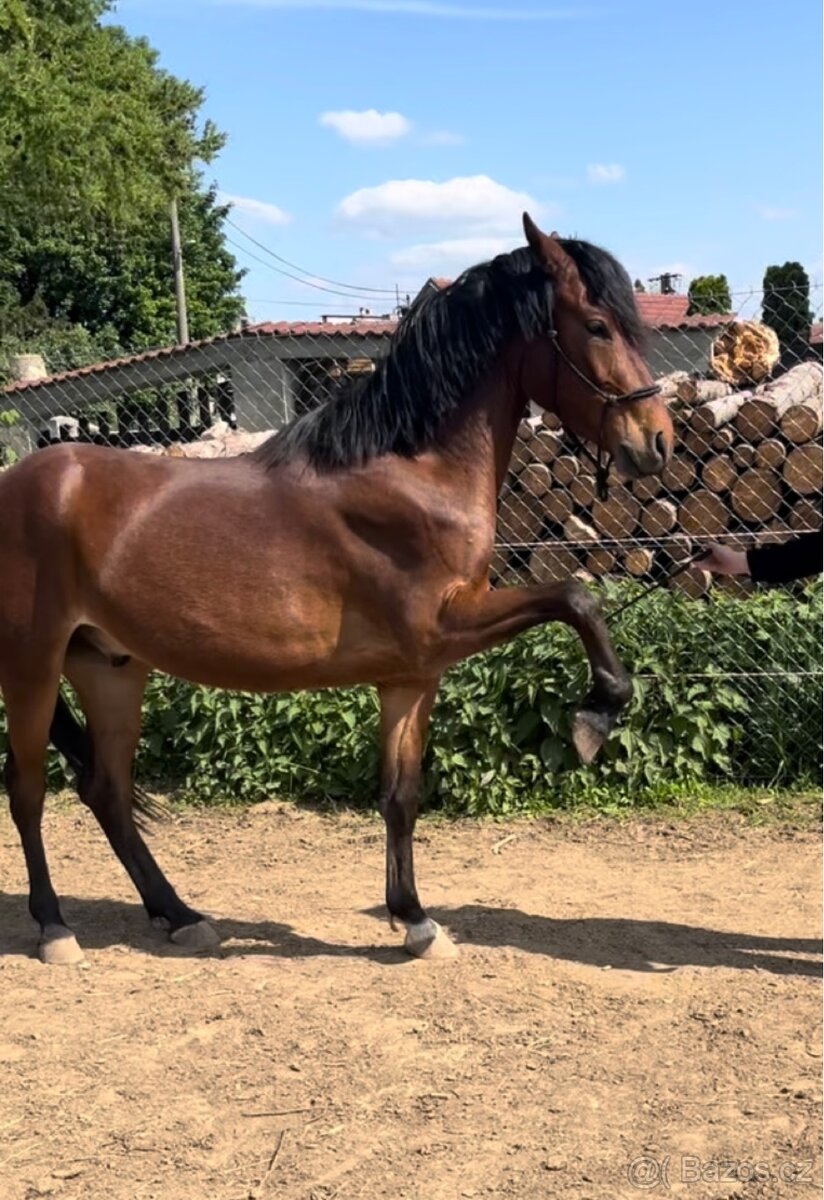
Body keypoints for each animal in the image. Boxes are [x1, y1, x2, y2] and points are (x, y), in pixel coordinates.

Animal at [0, 214, 673, 965]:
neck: (413, 472)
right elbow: (575, 598)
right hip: (31, 665)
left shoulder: (412, 674)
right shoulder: (443, 628)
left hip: (111, 668)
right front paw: (597, 713)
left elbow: (400, 796)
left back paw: (178, 915)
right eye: (597, 325)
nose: (658, 441)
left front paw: (416, 921)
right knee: (27, 789)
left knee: (106, 790)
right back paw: (55, 928)